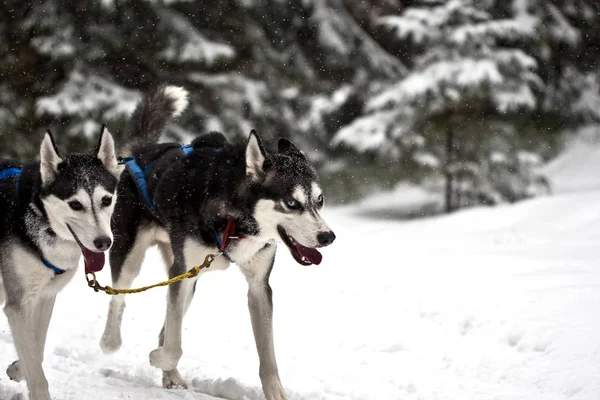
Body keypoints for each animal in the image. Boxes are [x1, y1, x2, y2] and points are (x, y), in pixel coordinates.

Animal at [0, 126, 120, 398]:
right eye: (75, 204)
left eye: (106, 200)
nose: (103, 243)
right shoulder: (17, 305)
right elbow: (37, 374)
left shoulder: (44, 296)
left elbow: (37, 349)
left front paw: (18, 368)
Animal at [100, 86, 336, 398]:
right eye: (292, 203)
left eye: (319, 200)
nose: (327, 236)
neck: (236, 220)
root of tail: (141, 152)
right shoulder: (183, 272)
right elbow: (173, 347)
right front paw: (157, 357)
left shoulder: (258, 286)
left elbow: (268, 358)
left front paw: (276, 393)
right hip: (134, 257)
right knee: (120, 299)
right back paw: (110, 342)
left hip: (186, 279)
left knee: (168, 323)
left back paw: (170, 376)